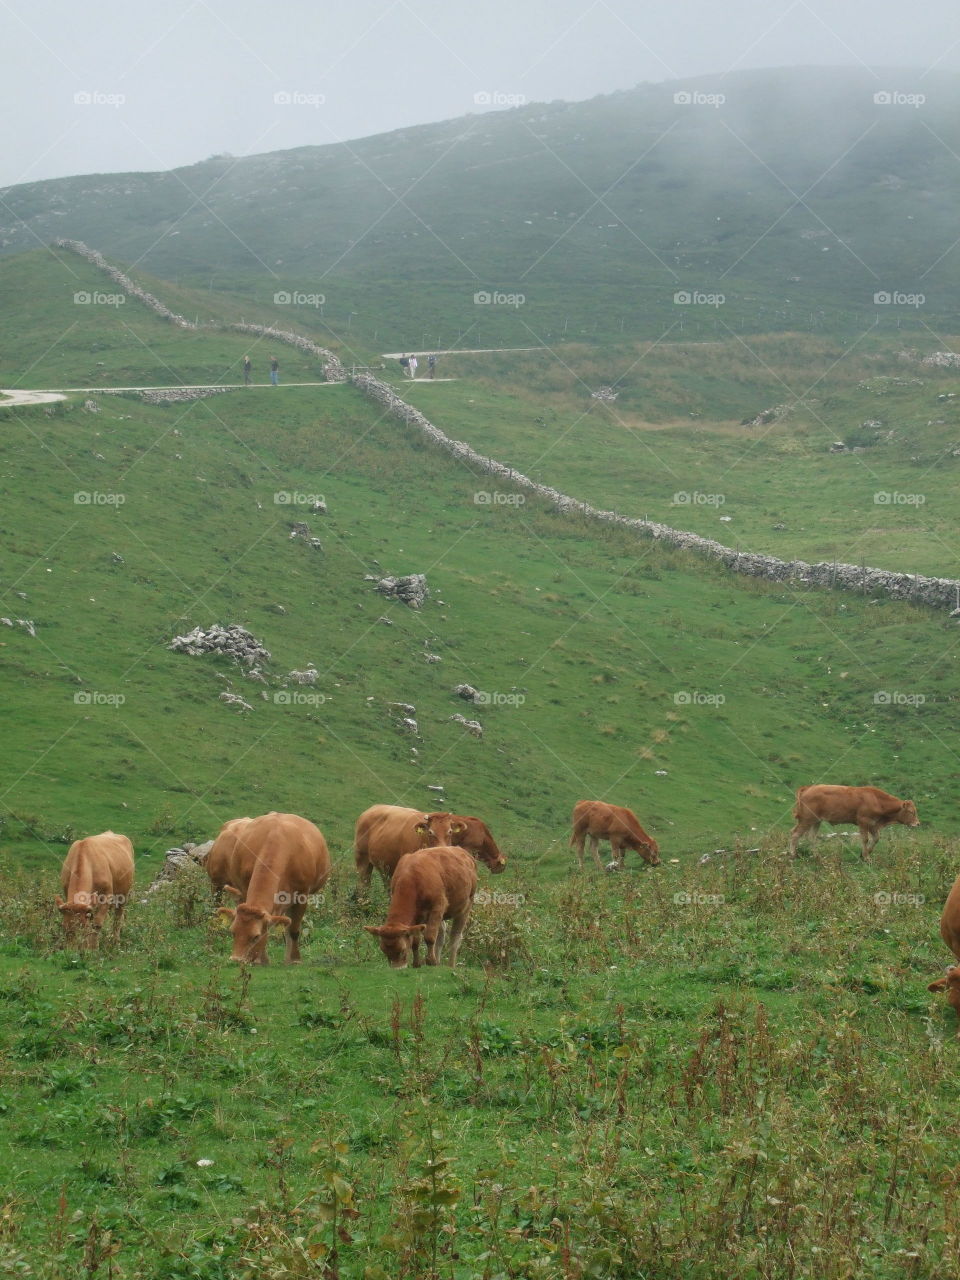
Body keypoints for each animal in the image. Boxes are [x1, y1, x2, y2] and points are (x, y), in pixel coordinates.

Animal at [215, 812, 330, 964]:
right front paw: (263, 960)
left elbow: (293, 930)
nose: (236, 960)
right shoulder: (245, 890)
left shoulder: (302, 896)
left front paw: (294, 959)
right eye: (233, 932)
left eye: (256, 936)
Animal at [354, 804, 506, 895]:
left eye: (450, 831)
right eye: (430, 832)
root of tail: (373, 808)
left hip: (385, 866)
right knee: (363, 883)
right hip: (362, 857)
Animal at [789, 785, 919, 859]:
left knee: (811, 837)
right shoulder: (863, 821)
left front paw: (865, 853)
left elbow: (876, 838)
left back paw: (817, 856)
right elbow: (865, 839)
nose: (918, 823)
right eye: (911, 811)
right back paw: (793, 855)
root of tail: (808, 788)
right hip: (806, 819)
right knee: (795, 834)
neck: (876, 800)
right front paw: (866, 857)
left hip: (816, 821)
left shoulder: (873, 824)